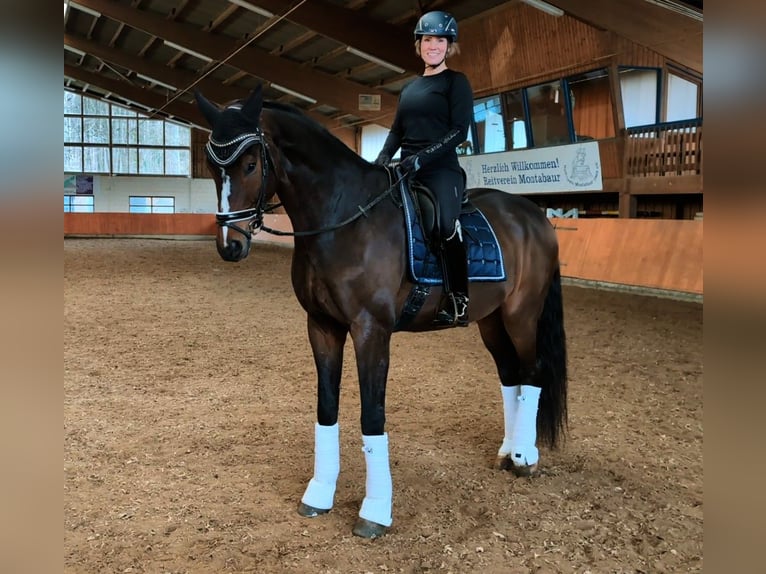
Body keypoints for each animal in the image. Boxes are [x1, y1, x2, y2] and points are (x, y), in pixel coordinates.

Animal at [195, 86, 568, 540]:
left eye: (250, 164)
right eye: (212, 166)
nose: (230, 246)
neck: (344, 218)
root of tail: (533, 216)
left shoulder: (371, 330)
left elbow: (372, 416)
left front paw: (375, 511)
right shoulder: (322, 326)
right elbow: (326, 408)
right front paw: (318, 494)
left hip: (521, 315)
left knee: (532, 373)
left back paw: (525, 458)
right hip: (491, 320)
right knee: (511, 376)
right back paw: (508, 452)